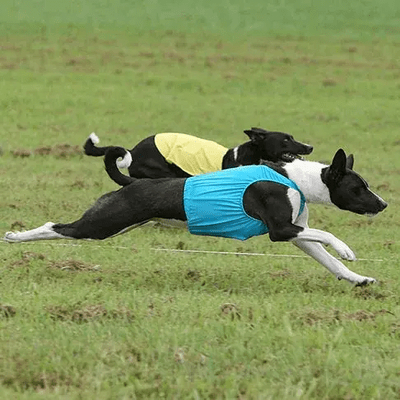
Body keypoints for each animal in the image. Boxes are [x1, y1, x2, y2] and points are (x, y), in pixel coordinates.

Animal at [1, 149, 386, 284]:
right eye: (358, 188)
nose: (383, 205)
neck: (298, 180)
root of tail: (133, 183)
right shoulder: (281, 230)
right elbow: (328, 237)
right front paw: (347, 249)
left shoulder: (296, 234)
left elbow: (328, 260)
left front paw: (358, 278)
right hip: (103, 223)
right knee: (56, 227)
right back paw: (15, 237)